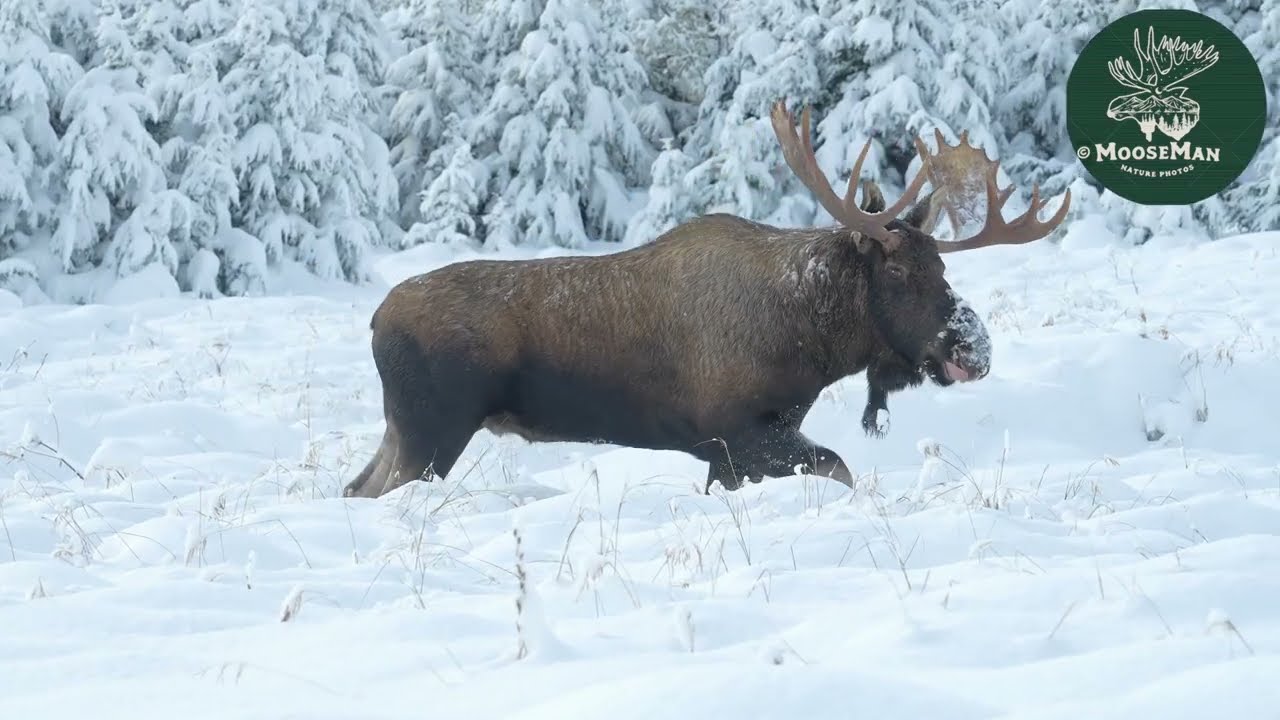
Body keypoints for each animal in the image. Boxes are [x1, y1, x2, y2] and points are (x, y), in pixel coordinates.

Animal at [343, 100, 1071, 499]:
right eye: (897, 273)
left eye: (941, 264)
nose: (973, 349)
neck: (812, 342)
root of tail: (376, 321)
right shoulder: (736, 433)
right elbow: (840, 470)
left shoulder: (730, 453)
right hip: (432, 429)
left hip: (405, 429)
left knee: (355, 486)